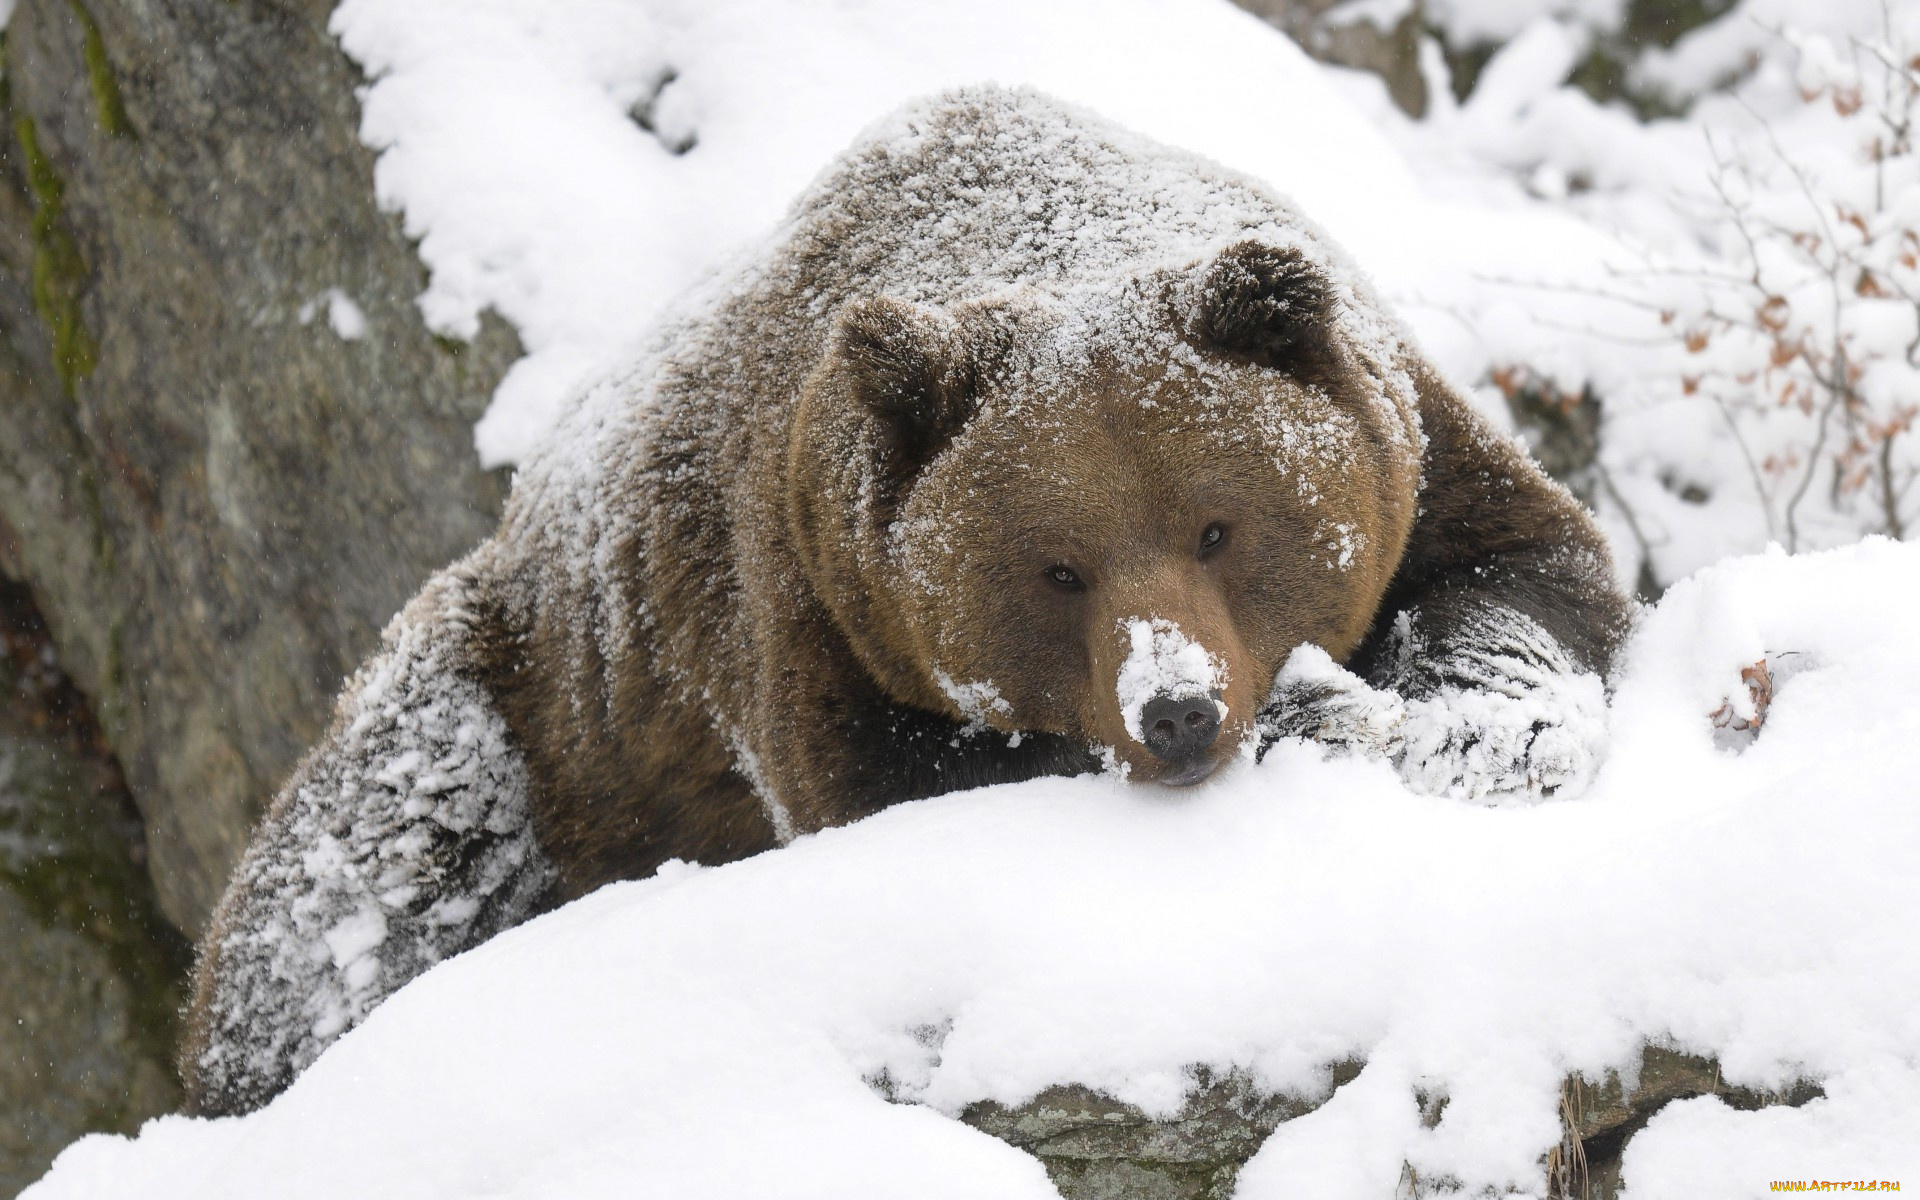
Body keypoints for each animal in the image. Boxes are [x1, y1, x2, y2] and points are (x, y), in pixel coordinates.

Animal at [180, 84, 1628, 1113]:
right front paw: (1325, 717)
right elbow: (903, 781)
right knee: (358, 884)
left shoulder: (1416, 449)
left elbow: (1527, 571)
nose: (1176, 711)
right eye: (1057, 566)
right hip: (531, 709)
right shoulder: (807, 603)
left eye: (1219, 525)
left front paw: (1486, 727)